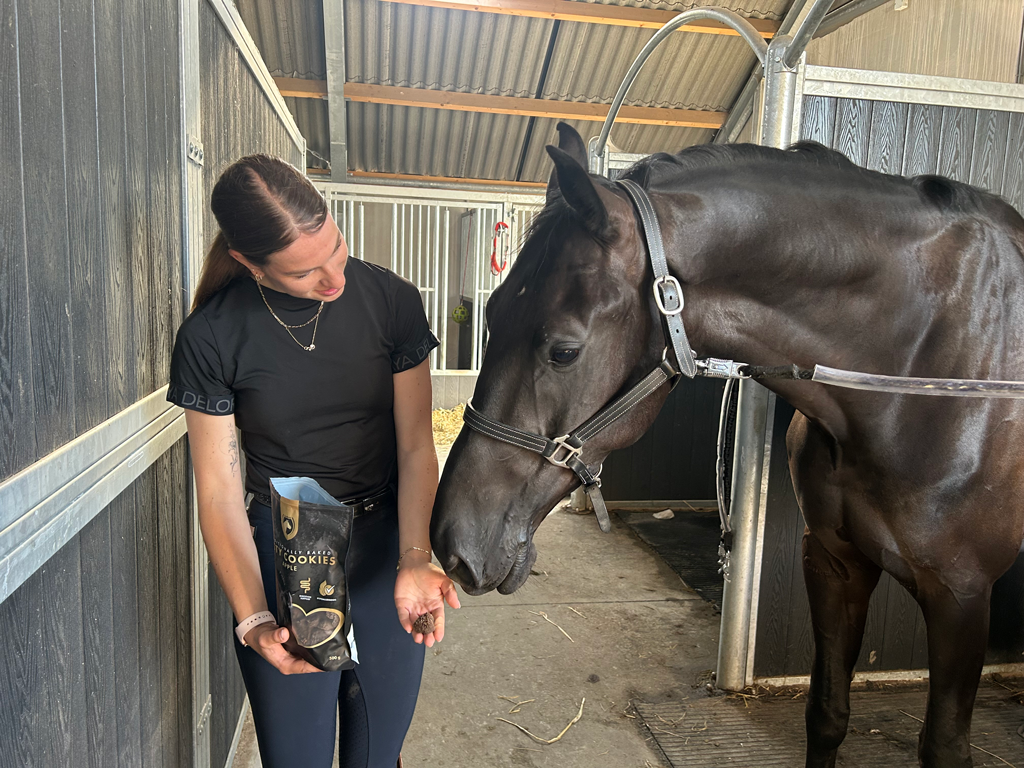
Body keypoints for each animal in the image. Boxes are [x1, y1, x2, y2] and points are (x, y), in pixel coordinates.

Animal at [430, 121, 1024, 767]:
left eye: (563, 350)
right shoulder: (835, 562)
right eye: (490, 314)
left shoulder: (960, 596)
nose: (450, 545)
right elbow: (826, 715)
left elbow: (943, 746)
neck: (924, 368)